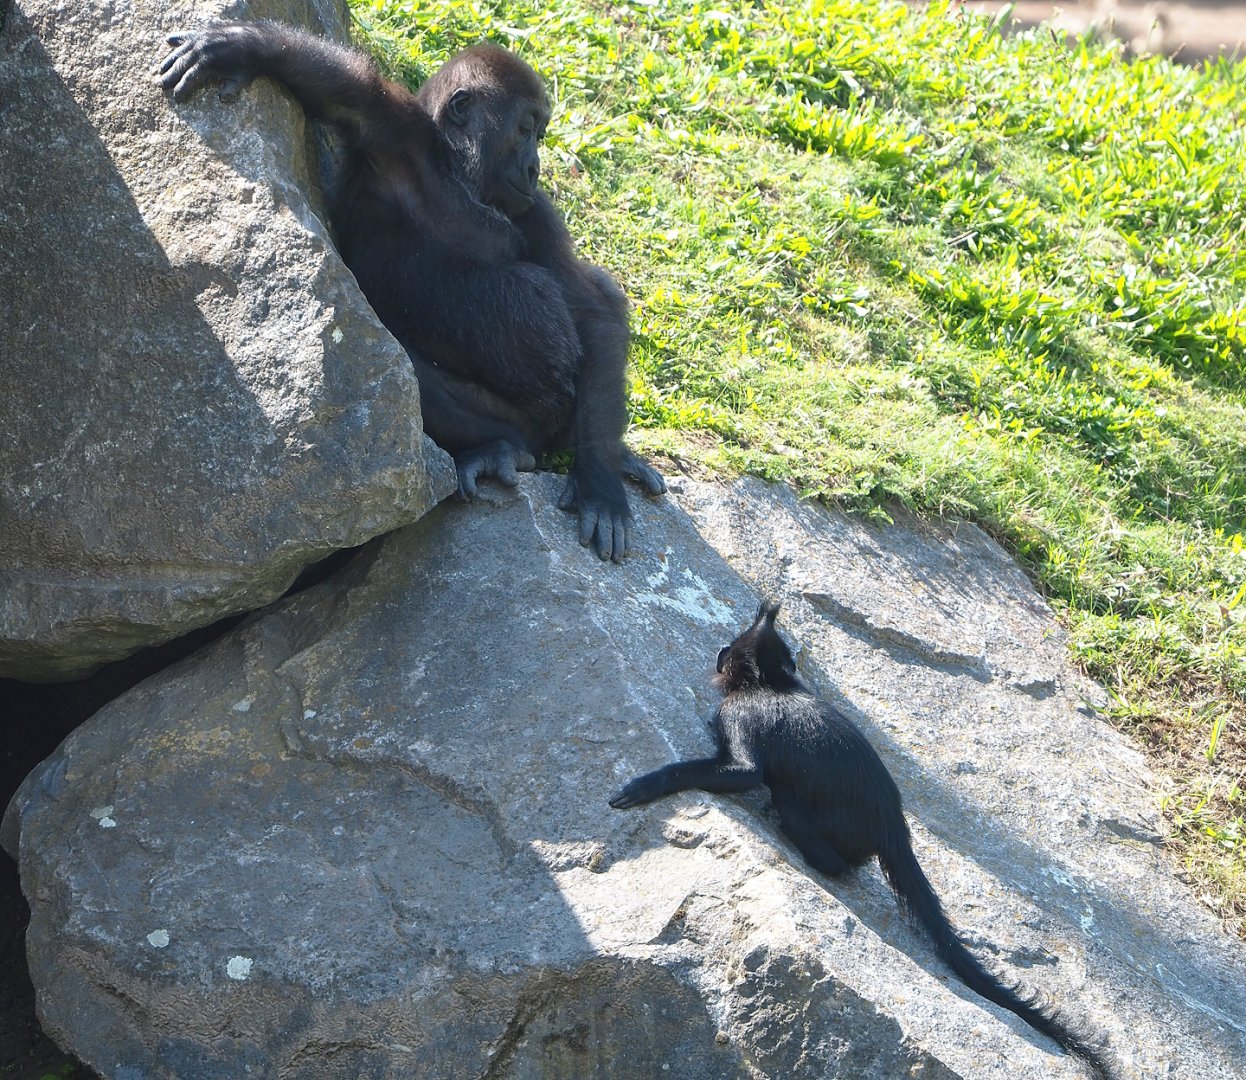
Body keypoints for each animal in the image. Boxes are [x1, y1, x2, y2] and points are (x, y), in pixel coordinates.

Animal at [156, 21, 665, 562]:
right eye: (526, 130)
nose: (535, 169)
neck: (455, 170)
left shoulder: (534, 209)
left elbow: (592, 305)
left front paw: (600, 482)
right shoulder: (395, 132)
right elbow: (345, 90)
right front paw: (249, 47)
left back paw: (603, 454)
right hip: (521, 425)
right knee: (402, 370)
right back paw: (496, 449)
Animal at [611, 601, 1117, 1079]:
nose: (718, 655)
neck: (773, 684)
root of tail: (894, 828)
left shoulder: (737, 715)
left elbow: (744, 772)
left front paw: (649, 785)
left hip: (816, 819)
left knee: (799, 814)